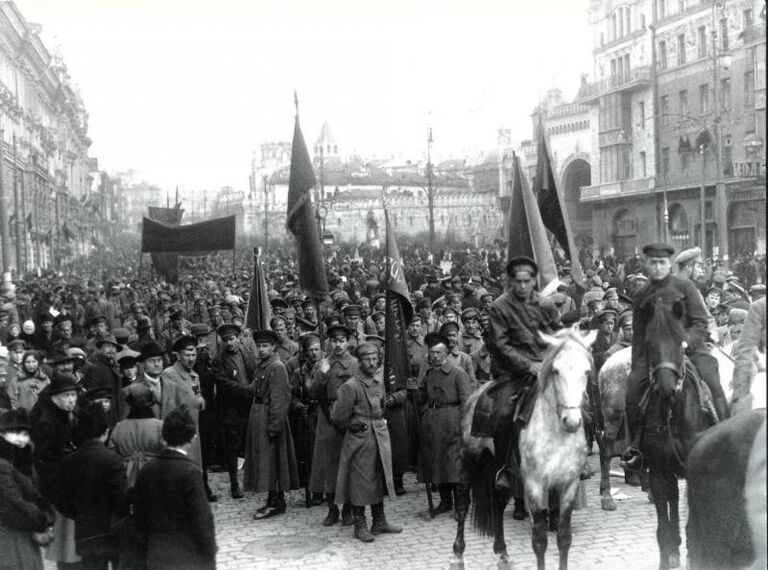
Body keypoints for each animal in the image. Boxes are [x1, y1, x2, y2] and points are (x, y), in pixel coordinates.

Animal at [452, 326, 596, 568]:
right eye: (556, 371)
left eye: (586, 371)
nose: (572, 421)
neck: (555, 433)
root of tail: (476, 395)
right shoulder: (535, 486)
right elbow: (539, 542)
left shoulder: (568, 485)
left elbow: (564, 538)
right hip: (469, 459)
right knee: (463, 502)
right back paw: (457, 555)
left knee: (498, 501)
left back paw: (502, 553)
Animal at [636, 300, 720, 564]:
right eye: (650, 344)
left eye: (680, 342)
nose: (666, 389)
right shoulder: (658, 471)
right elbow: (663, 526)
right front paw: (668, 555)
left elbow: (694, 527)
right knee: (672, 497)